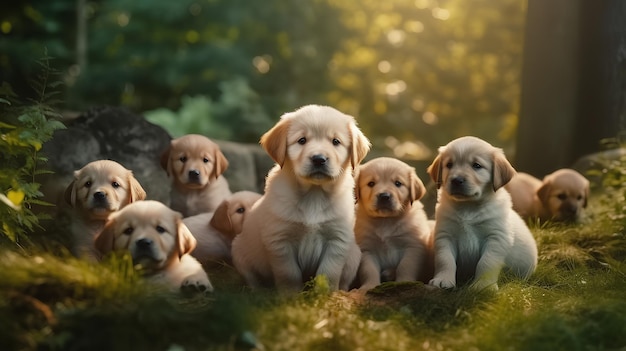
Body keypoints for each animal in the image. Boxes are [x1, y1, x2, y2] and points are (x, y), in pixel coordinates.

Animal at [229, 104, 368, 294]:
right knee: (252, 280)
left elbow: (329, 271)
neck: (314, 193)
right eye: (302, 140)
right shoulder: (280, 240)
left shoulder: (337, 239)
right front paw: (290, 296)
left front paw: (324, 294)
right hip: (239, 251)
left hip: (354, 254)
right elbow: (289, 273)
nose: (319, 159)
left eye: (336, 142)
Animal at [354, 157, 432, 292]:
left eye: (398, 183)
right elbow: (369, 270)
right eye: (371, 183)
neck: (386, 220)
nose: (384, 196)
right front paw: (369, 286)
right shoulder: (366, 249)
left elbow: (405, 266)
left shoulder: (413, 246)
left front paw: (404, 282)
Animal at [424, 137, 536, 292]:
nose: (456, 180)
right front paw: (443, 280)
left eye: (476, 166)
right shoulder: (445, 236)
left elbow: (487, 262)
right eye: (449, 165)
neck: (468, 206)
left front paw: (484, 285)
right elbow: (445, 259)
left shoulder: (496, 237)